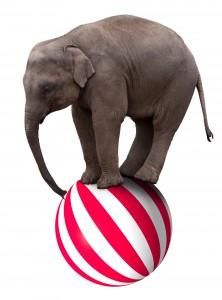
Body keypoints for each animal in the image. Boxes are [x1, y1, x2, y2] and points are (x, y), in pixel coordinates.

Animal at [23, 14, 213, 197]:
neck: (66, 40)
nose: (63, 192)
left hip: (179, 84)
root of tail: (193, 59)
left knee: (163, 126)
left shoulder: (107, 75)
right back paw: (128, 173)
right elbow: (81, 121)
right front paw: (87, 181)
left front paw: (106, 185)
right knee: (144, 125)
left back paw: (144, 178)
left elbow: (107, 118)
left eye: (47, 88)